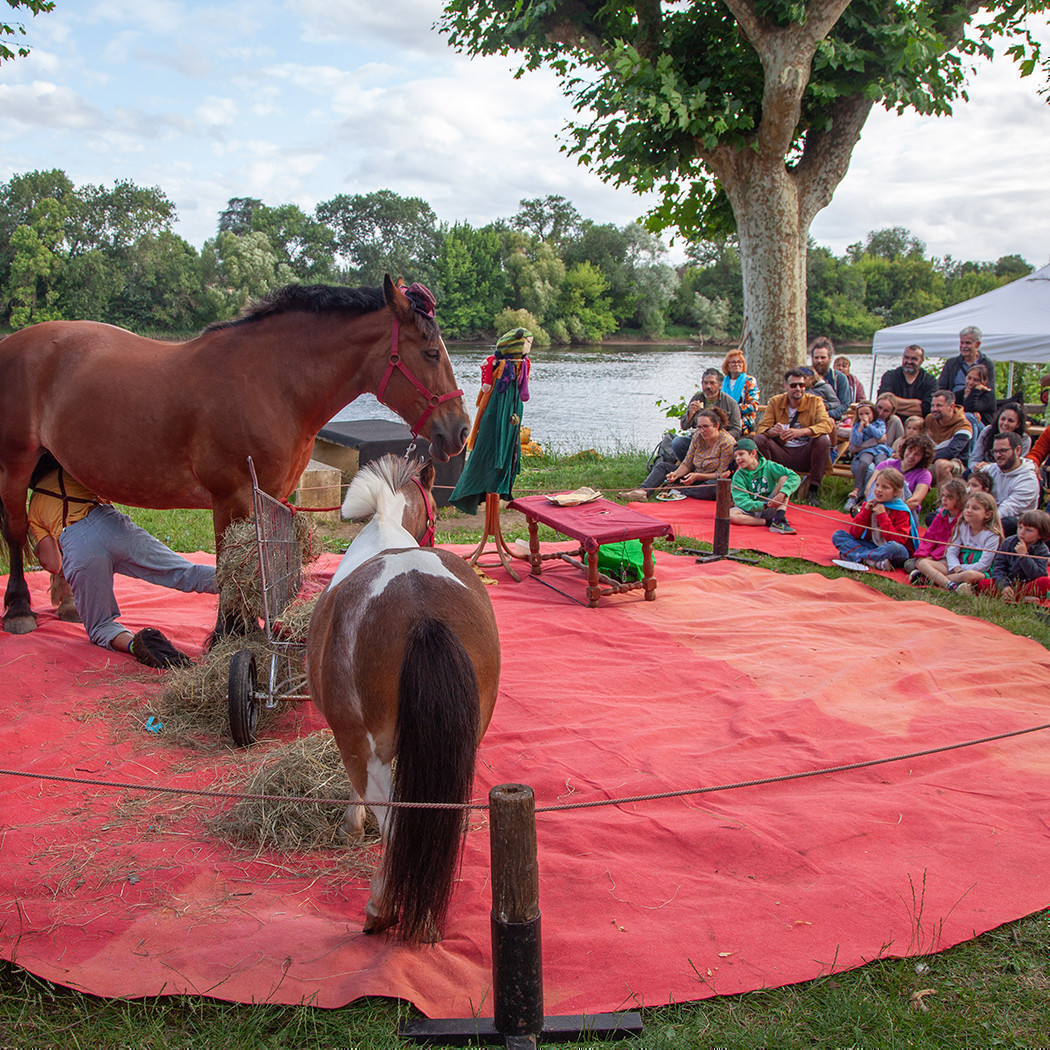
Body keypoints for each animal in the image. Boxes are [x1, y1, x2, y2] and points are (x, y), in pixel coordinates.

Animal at [0, 275, 468, 634]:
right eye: (430, 353)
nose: (460, 430)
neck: (271, 383)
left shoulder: (272, 496)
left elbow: (263, 565)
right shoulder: (231, 497)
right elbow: (229, 565)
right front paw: (228, 635)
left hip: (55, 460)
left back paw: (65, 602)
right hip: (15, 463)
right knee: (17, 530)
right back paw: (20, 609)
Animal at [306, 457, 499, 944]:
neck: (385, 525)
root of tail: (423, 613)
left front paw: (351, 827)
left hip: (364, 751)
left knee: (397, 824)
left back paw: (381, 909)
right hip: (463, 745)